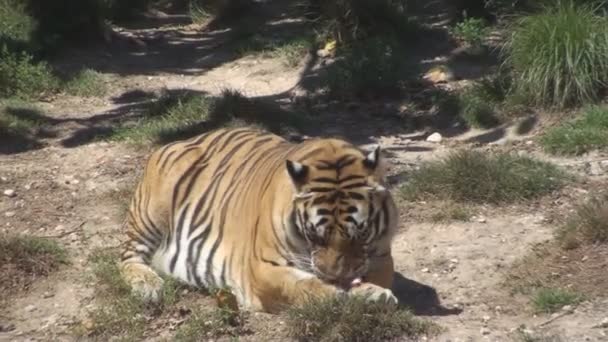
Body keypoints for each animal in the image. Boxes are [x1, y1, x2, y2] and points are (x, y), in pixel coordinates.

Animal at [121, 126, 402, 312]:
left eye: (361, 233)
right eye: (314, 235)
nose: (335, 277)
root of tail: (180, 140)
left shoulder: (382, 257)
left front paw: (371, 293)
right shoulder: (261, 267)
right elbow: (301, 286)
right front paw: (338, 294)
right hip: (150, 216)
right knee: (126, 258)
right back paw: (148, 286)